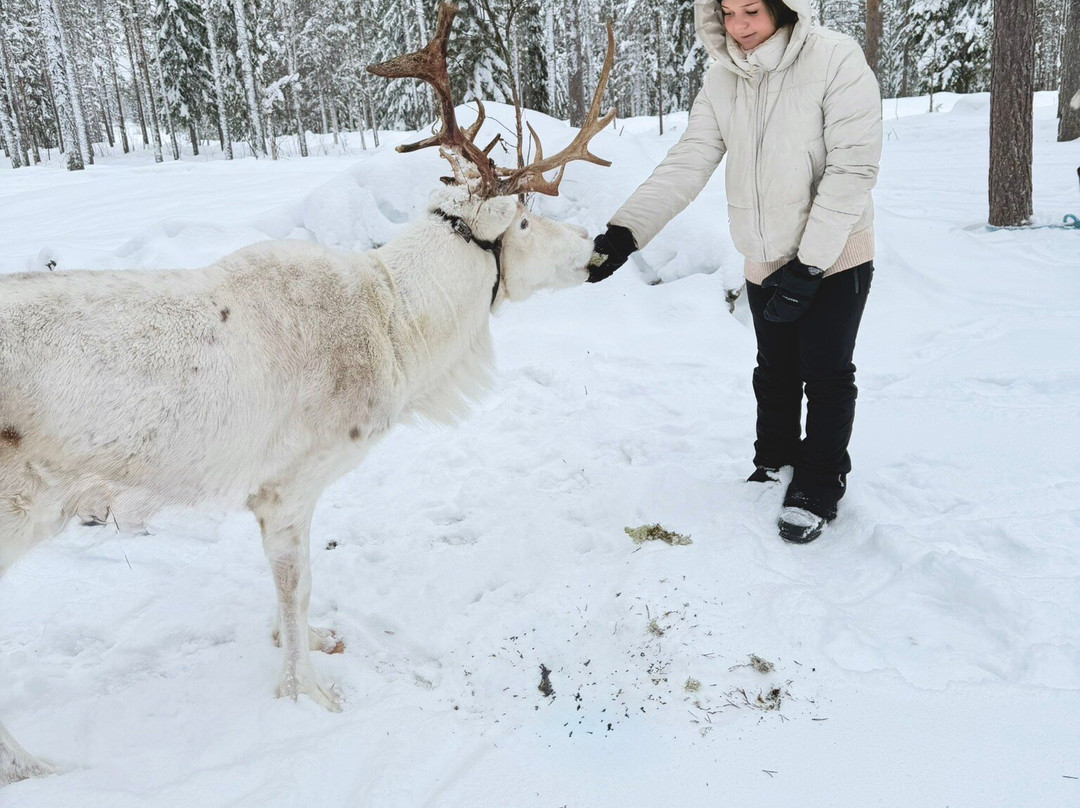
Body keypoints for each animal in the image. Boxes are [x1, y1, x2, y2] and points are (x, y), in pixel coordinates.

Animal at [0, 1, 615, 786]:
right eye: (528, 219)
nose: (595, 246)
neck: (400, 332)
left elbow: (291, 591)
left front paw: (309, 643)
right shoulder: (287, 485)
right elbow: (299, 587)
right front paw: (308, 692)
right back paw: (34, 767)